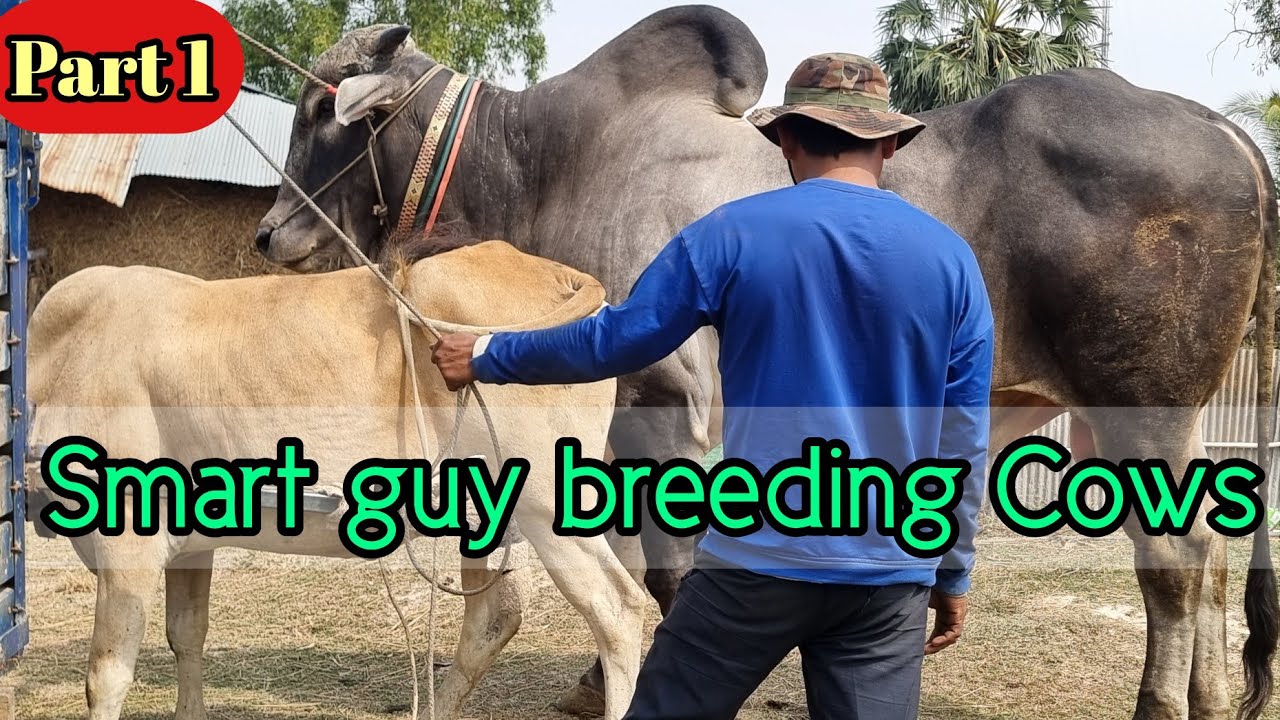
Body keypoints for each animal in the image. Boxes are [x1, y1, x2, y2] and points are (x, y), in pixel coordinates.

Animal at [27, 241, 646, 720]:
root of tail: (561, 275)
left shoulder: (127, 539)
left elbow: (107, 675)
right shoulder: (190, 546)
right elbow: (187, 635)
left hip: (547, 506)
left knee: (617, 607)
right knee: (496, 615)